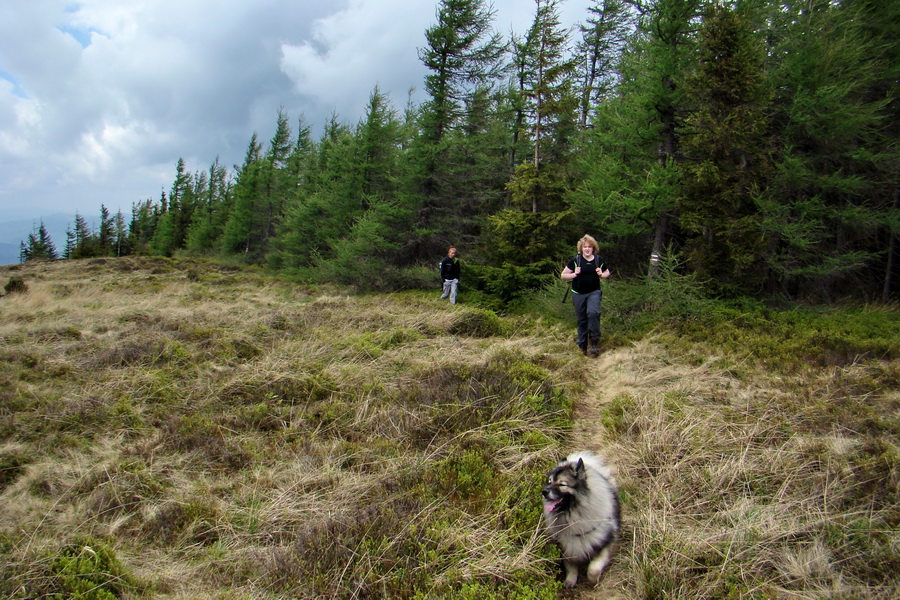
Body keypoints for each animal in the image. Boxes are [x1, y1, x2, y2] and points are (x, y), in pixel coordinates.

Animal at [540, 452, 620, 588]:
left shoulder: (603, 545)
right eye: (549, 482)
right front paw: (570, 581)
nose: (544, 492)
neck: (574, 516)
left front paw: (593, 581)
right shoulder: (567, 548)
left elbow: (593, 569)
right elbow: (571, 566)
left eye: (562, 484)